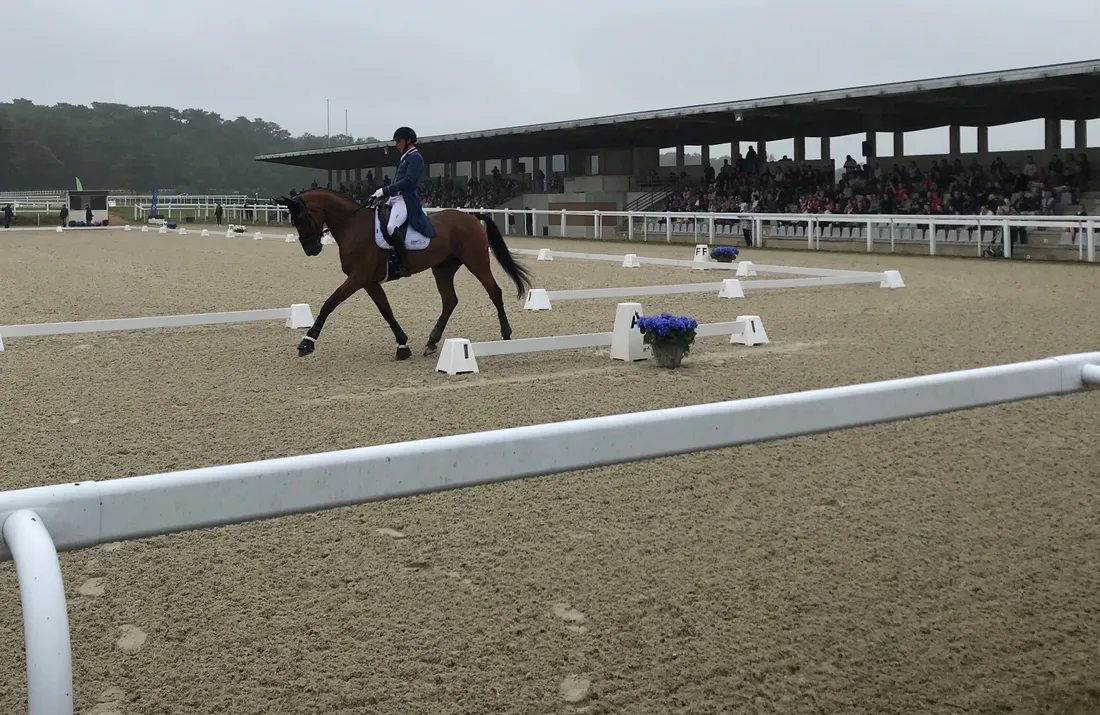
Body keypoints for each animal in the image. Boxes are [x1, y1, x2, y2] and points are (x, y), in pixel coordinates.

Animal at [273, 188, 532, 358]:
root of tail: (469, 216)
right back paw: (431, 342)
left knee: (494, 292)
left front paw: (307, 342)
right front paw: (402, 345)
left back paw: (506, 334)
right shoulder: (368, 281)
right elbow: (385, 310)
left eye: (302, 217)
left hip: (476, 261)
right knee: (450, 301)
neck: (353, 226)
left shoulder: (357, 277)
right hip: (443, 268)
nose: (311, 250)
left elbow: (330, 303)